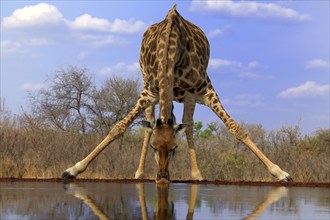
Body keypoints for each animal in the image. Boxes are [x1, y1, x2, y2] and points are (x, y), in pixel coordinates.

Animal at [63, 4, 292, 182]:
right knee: (149, 123)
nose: (162, 177)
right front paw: (73, 169)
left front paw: (281, 173)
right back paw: (139, 173)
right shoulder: (148, 93)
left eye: (174, 148)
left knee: (187, 125)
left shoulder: (203, 89)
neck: (172, 53)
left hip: (188, 97)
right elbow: (118, 128)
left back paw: (197, 174)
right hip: (147, 83)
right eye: (154, 147)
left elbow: (236, 128)